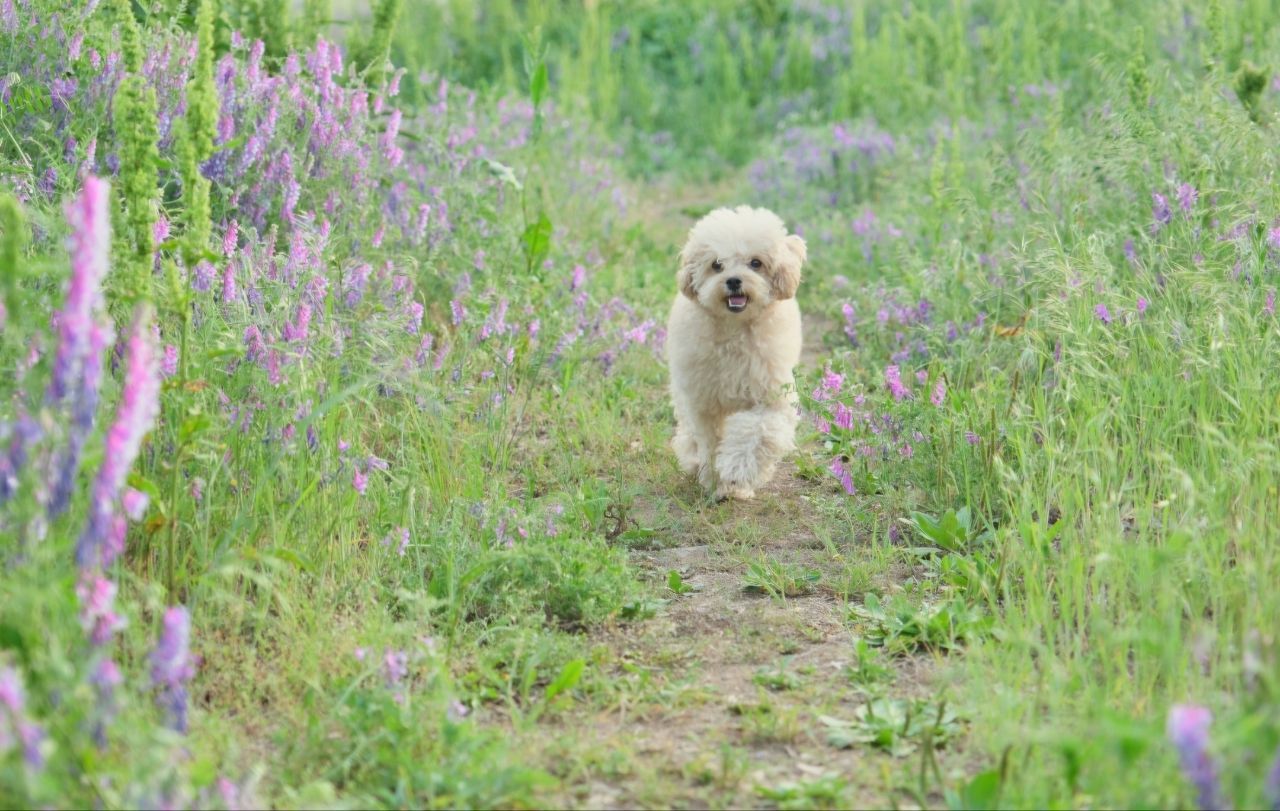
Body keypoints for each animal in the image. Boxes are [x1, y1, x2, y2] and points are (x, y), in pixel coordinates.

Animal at [665, 204, 803, 498]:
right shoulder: (704, 401)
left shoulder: (771, 395)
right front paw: (714, 481)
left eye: (756, 263)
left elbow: (758, 433)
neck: (734, 329)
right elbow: (709, 440)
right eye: (716, 264)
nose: (733, 281)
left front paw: (737, 473)